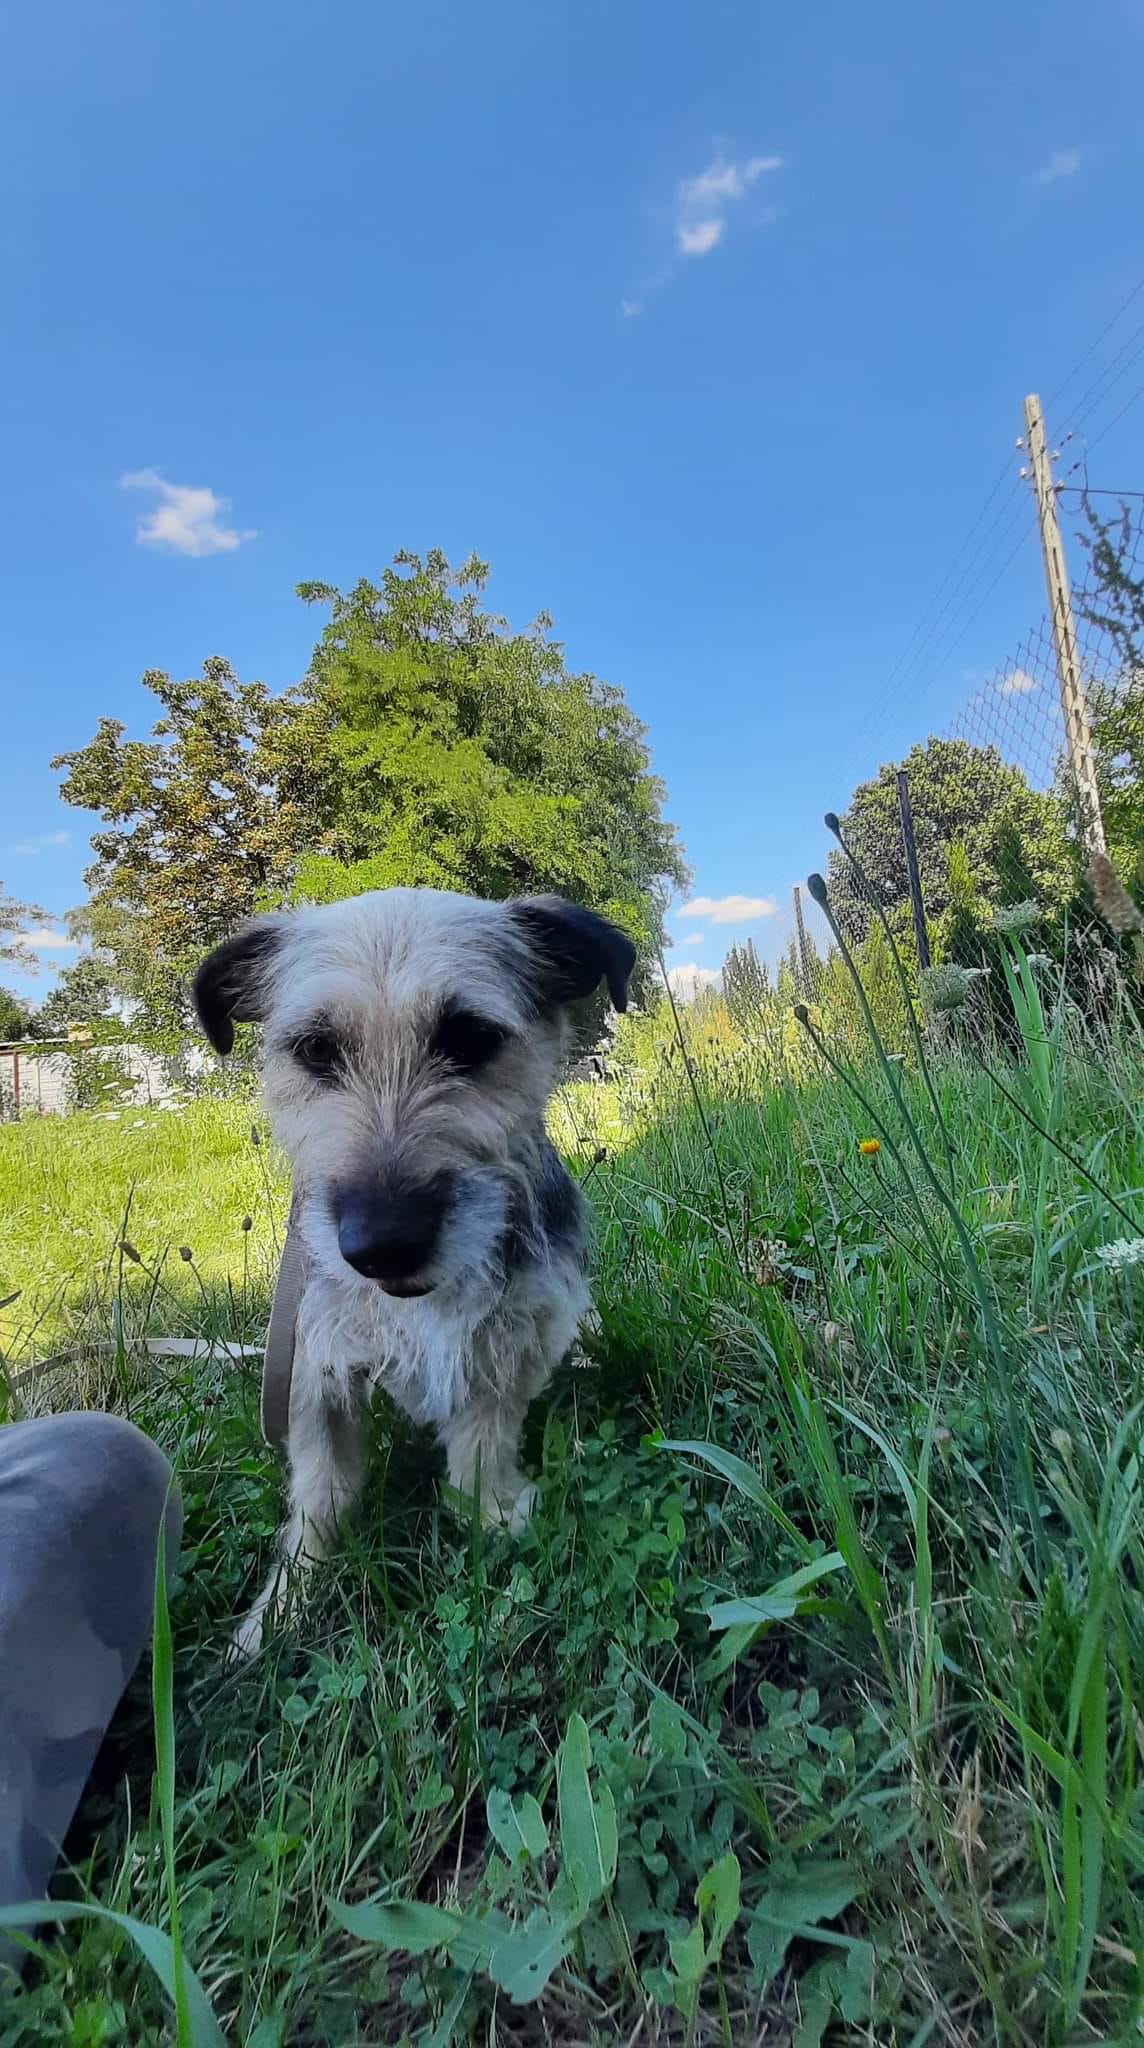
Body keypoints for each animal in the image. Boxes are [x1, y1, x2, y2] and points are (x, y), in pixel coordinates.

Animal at [193, 887, 634, 1657]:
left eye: (470, 1038)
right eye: (315, 1049)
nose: (382, 1247)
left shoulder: (509, 1346)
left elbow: (483, 1445)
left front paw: (492, 1515)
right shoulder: (315, 1370)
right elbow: (319, 1496)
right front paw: (281, 1610)